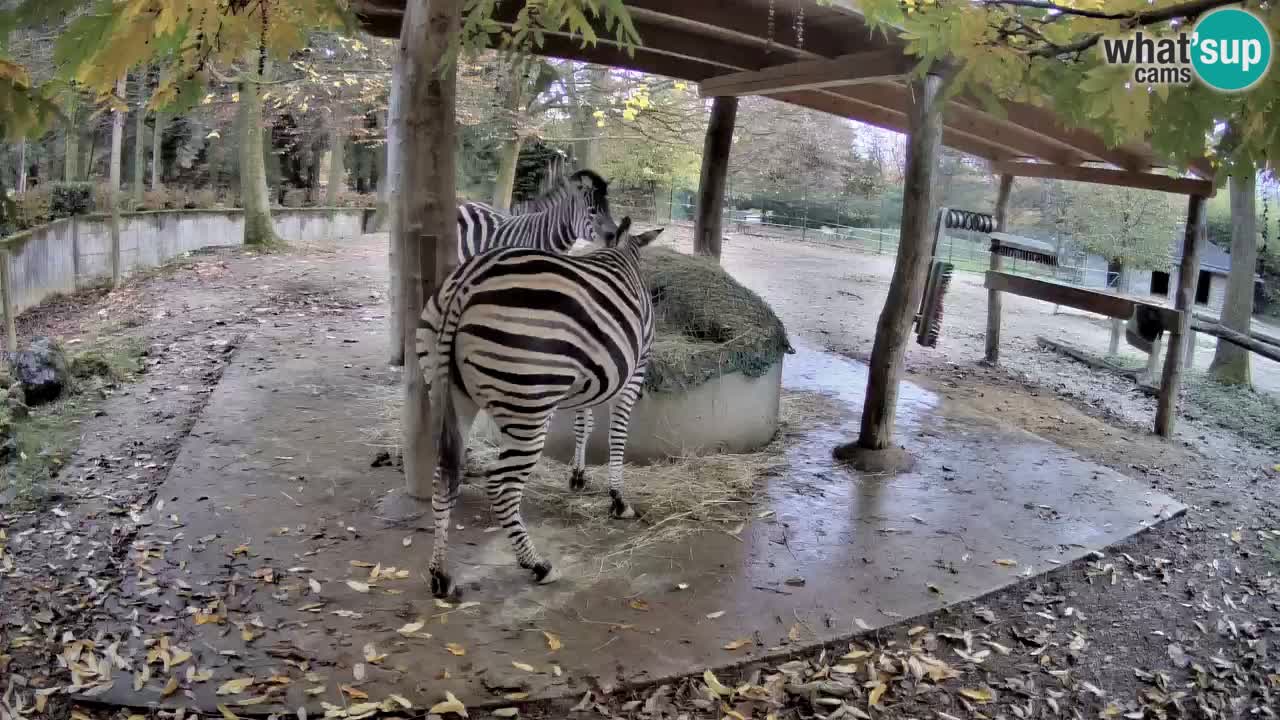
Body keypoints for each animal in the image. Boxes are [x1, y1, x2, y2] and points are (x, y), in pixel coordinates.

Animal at [416, 216, 664, 598]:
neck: (621, 254)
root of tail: (466, 282)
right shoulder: (634, 371)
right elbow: (617, 434)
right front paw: (618, 500)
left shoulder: (586, 380)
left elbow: (583, 423)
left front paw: (577, 476)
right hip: (527, 407)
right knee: (501, 486)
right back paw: (537, 565)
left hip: (449, 393)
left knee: (444, 475)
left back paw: (440, 574)